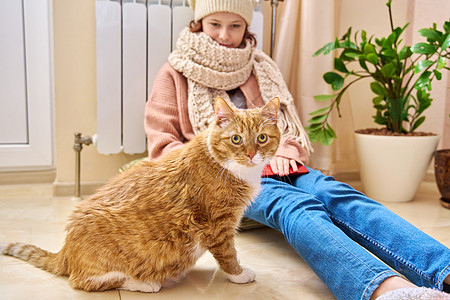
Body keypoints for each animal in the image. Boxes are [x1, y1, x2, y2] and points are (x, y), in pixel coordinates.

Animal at [0, 96, 282, 292]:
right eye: (236, 139)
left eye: (262, 138)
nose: (251, 154)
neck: (229, 168)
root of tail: (66, 249)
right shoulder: (218, 225)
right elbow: (228, 254)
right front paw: (239, 274)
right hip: (101, 268)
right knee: (85, 281)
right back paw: (143, 284)